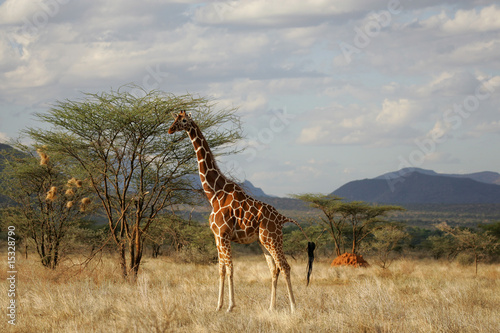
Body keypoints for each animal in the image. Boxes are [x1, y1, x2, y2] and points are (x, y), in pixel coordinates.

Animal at [169, 109, 312, 312]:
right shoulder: (216, 236)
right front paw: (218, 306)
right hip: (263, 241)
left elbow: (230, 268)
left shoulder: (224, 234)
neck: (214, 193)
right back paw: (271, 307)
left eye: (183, 120)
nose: (170, 129)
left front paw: (230, 306)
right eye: (174, 119)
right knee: (274, 269)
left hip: (272, 238)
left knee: (285, 266)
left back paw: (293, 307)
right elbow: (221, 269)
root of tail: (282, 218)